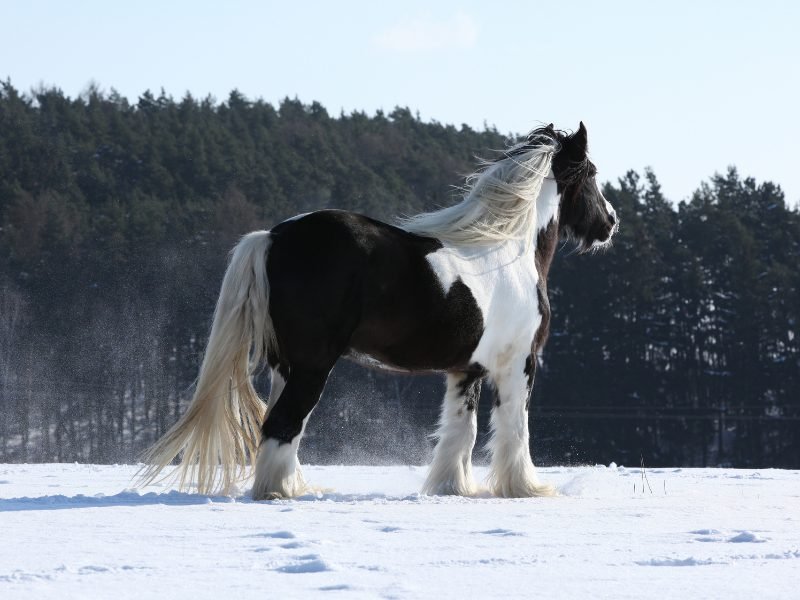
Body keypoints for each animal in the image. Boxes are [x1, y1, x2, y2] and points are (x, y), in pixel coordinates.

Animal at [139, 119, 620, 500]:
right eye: (592, 174)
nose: (610, 223)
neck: (509, 251)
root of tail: (273, 237)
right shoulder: (520, 363)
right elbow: (514, 428)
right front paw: (524, 488)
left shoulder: (466, 371)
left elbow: (459, 432)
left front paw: (452, 488)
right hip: (313, 365)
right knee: (283, 424)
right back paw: (278, 494)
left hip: (284, 366)